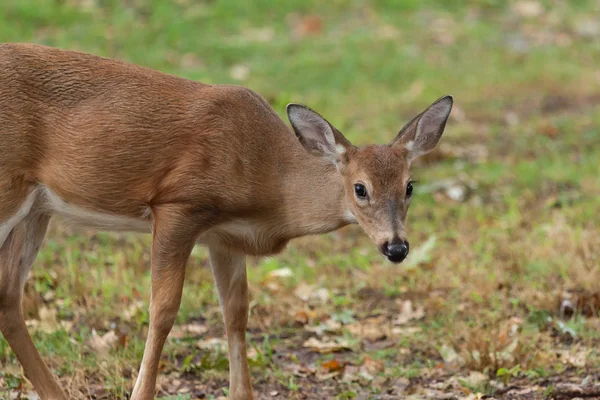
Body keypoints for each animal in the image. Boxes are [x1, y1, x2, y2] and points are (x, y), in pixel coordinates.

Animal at [0, 43, 452, 400]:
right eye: (360, 188)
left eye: (410, 186)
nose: (396, 247)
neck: (267, 176)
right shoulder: (178, 204)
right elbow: (163, 310)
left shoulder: (223, 237)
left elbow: (235, 312)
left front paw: (241, 393)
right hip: (9, 191)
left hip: (36, 209)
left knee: (8, 295)